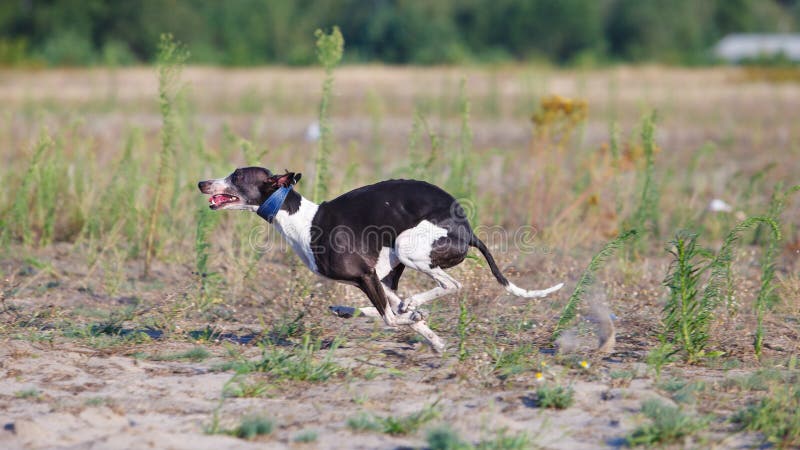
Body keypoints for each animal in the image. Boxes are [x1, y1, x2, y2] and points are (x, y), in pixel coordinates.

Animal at [199, 167, 564, 354]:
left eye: (237, 177)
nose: (202, 182)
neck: (302, 219)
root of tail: (468, 230)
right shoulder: (377, 275)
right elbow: (398, 313)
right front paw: (432, 337)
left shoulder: (364, 275)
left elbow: (391, 318)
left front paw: (415, 320)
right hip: (396, 261)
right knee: (402, 298)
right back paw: (357, 309)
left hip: (407, 246)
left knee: (451, 284)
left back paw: (408, 305)